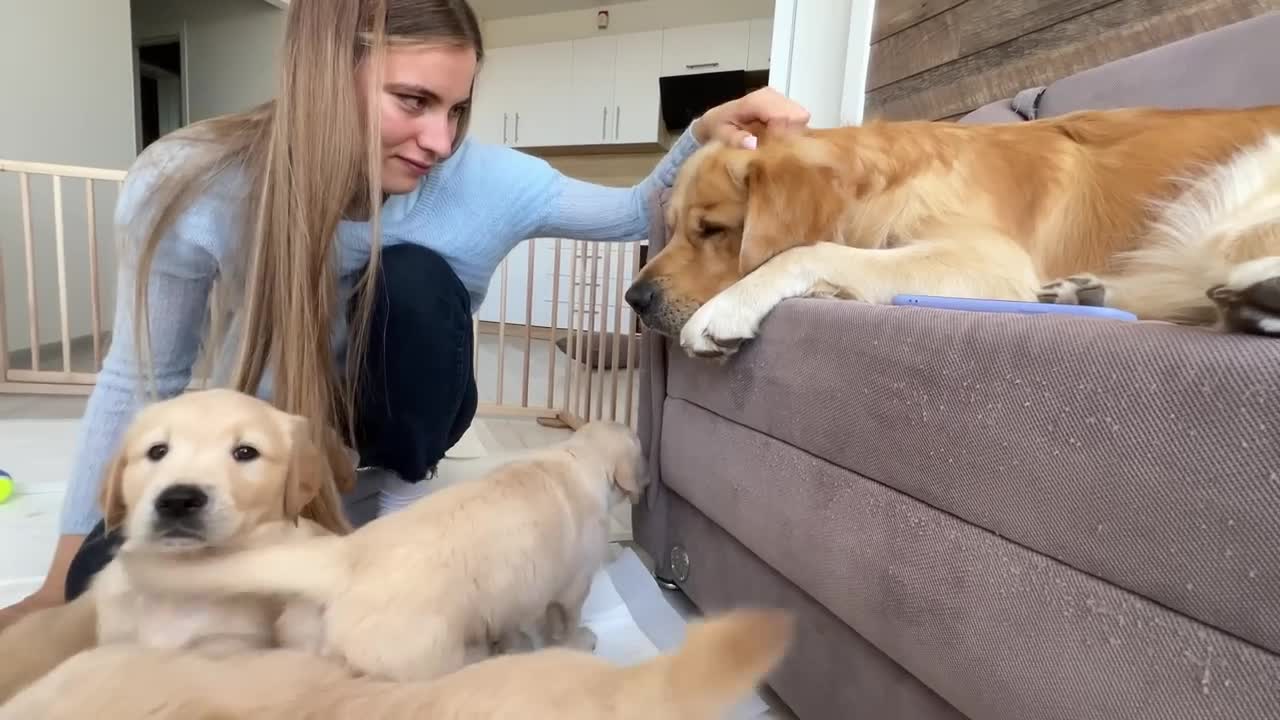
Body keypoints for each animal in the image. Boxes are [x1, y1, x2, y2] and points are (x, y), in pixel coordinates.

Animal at [119, 417, 645, 681]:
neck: (576, 457)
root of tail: (343, 558)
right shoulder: (572, 584)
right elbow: (566, 619)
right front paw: (578, 642)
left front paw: (517, 642)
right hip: (421, 656)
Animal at [624, 103, 1280, 356]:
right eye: (672, 228)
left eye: (713, 229)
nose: (635, 298)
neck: (883, 185)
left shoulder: (992, 261)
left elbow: (809, 250)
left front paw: (730, 306)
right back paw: (1081, 292)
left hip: (1233, 197)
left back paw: (1258, 298)